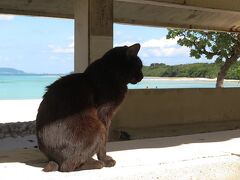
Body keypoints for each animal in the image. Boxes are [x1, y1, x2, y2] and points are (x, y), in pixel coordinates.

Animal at [35, 43, 142, 172]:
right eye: (139, 66)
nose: (142, 76)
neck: (111, 75)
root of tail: (53, 159)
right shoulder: (104, 115)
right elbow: (104, 143)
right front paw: (105, 160)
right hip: (98, 128)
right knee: (67, 166)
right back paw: (97, 163)